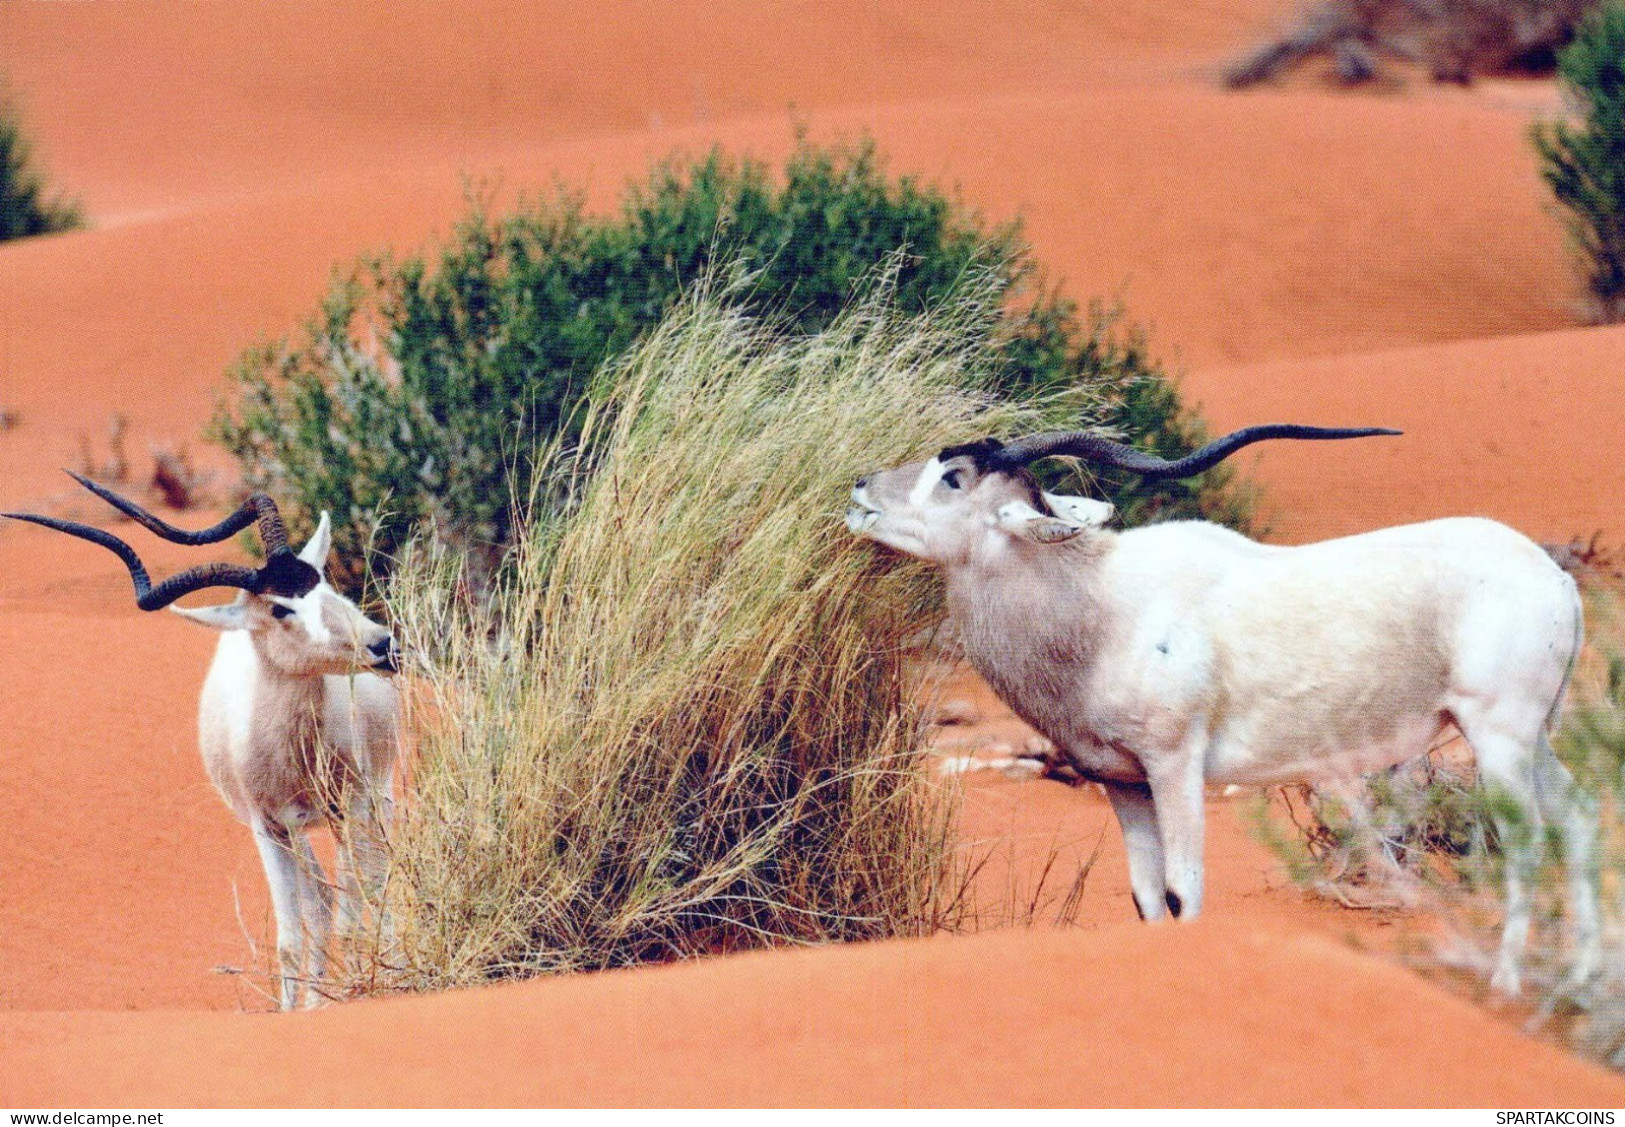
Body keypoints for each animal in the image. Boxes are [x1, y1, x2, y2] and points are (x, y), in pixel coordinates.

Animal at [6, 477, 399, 1013]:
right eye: (281, 607)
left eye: (322, 581)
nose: (381, 645)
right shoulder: (268, 827)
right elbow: (292, 936)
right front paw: (297, 1011)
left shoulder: (353, 806)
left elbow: (353, 913)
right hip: (301, 831)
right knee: (320, 903)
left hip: (371, 803)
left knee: (372, 885)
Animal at [851, 425, 1599, 1000]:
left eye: (952, 478)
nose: (860, 489)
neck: (1097, 601)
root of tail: (1556, 578)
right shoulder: (1122, 781)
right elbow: (1146, 896)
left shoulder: (1175, 764)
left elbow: (1183, 888)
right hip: (1532, 739)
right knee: (1577, 811)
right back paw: (1581, 978)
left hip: (1497, 735)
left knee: (1529, 839)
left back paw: (1506, 984)